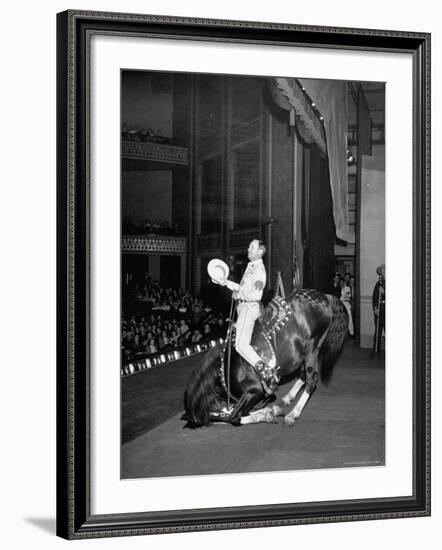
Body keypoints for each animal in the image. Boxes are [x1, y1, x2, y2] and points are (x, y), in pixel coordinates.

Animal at [183, 292, 348, 430]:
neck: (227, 368)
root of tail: (325, 297)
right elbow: (237, 413)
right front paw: (271, 411)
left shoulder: (255, 391)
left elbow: (234, 417)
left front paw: (270, 413)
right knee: (303, 374)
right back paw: (288, 398)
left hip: (313, 346)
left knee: (312, 378)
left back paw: (292, 414)